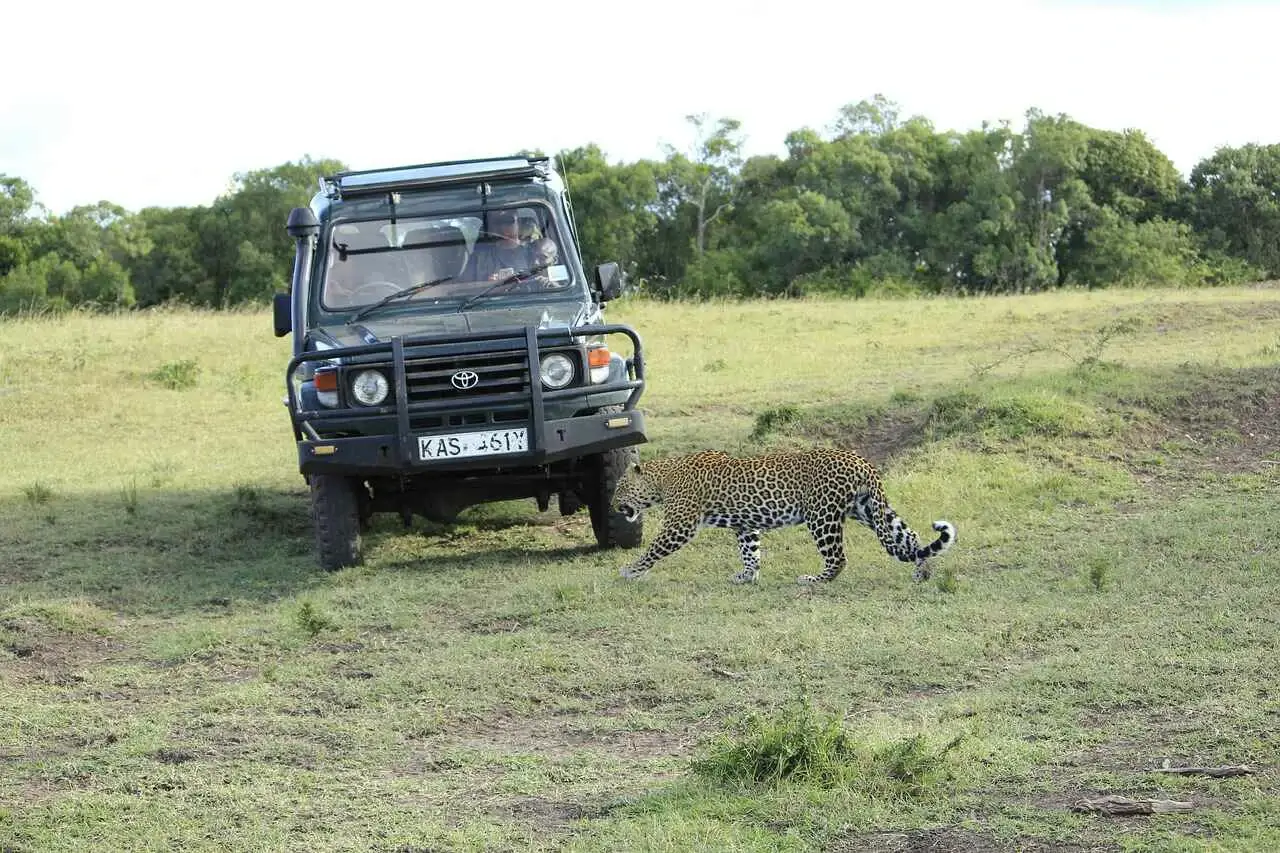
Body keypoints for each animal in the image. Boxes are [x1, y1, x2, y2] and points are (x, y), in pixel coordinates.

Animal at [614, 445, 957, 584]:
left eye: (619, 488)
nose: (614, 505)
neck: (662, 479)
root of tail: (861, 461)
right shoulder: (745, 525)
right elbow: (750, 552)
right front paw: (748, 576)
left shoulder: (680, 525)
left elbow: (654, 549)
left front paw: (630, 571)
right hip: (869, 509)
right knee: (910, 536)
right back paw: (922, 572)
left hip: (822, 515)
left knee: (838, 558)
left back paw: (813, 579)